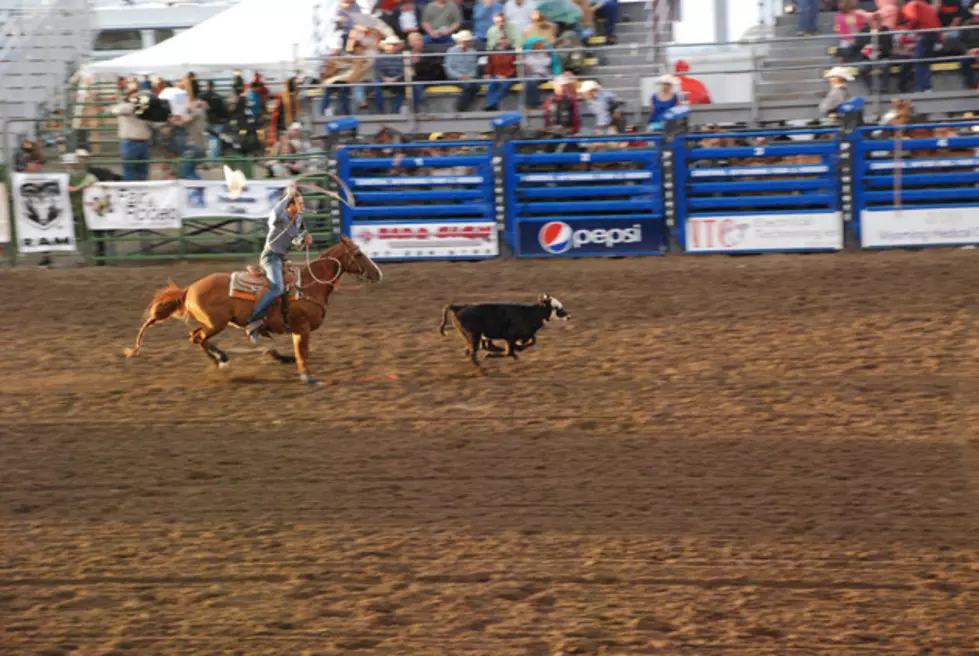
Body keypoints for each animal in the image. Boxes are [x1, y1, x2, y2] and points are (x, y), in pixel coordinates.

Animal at [123, 236, 382, 382]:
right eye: (359, 254)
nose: (378, 273)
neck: (309, 284)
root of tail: (190, 288)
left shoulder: (297, 330)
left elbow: (298, 352)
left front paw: (283, 358)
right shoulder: (302, 327)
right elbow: (303, 353)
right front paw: (307, 376)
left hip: (211, 323)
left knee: (195, 336)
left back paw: (221, 360)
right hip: (215, 324)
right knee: (197, 338)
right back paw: (222, 358)